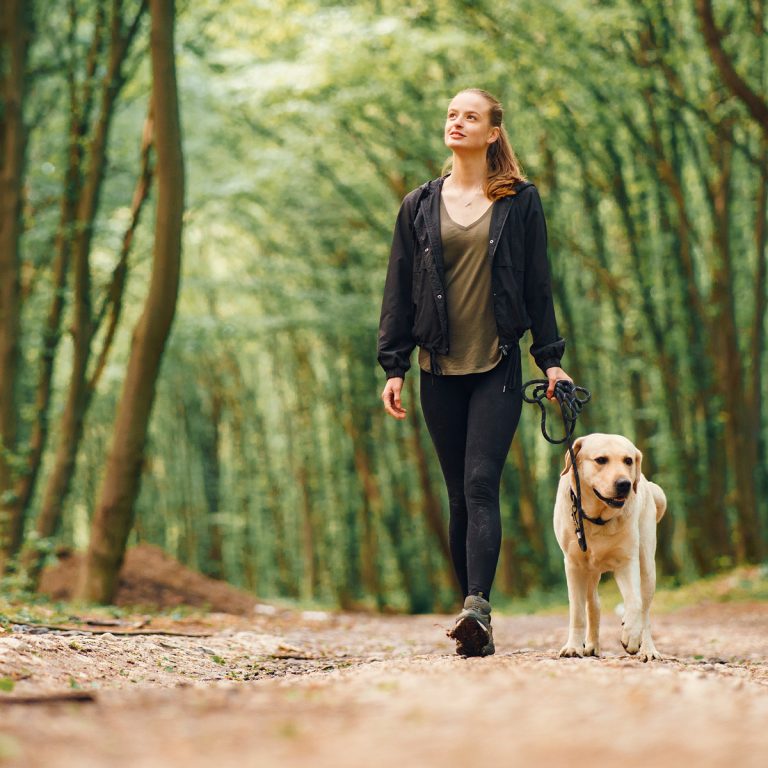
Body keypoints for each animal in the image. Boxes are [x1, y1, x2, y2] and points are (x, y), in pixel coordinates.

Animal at [552, 432, 664, 660]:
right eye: (601, 460)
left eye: (628, 460)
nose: (625, 484)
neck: (597, 519)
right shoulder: (574, 565)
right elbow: (577, 612)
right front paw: (573, 647)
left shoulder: (627, 561)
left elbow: (635, 603)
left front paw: (631, 636)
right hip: (589, 572)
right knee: (593, 604)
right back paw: (591, 645)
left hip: (647, 565)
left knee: (645, 610)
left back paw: (648, 649)